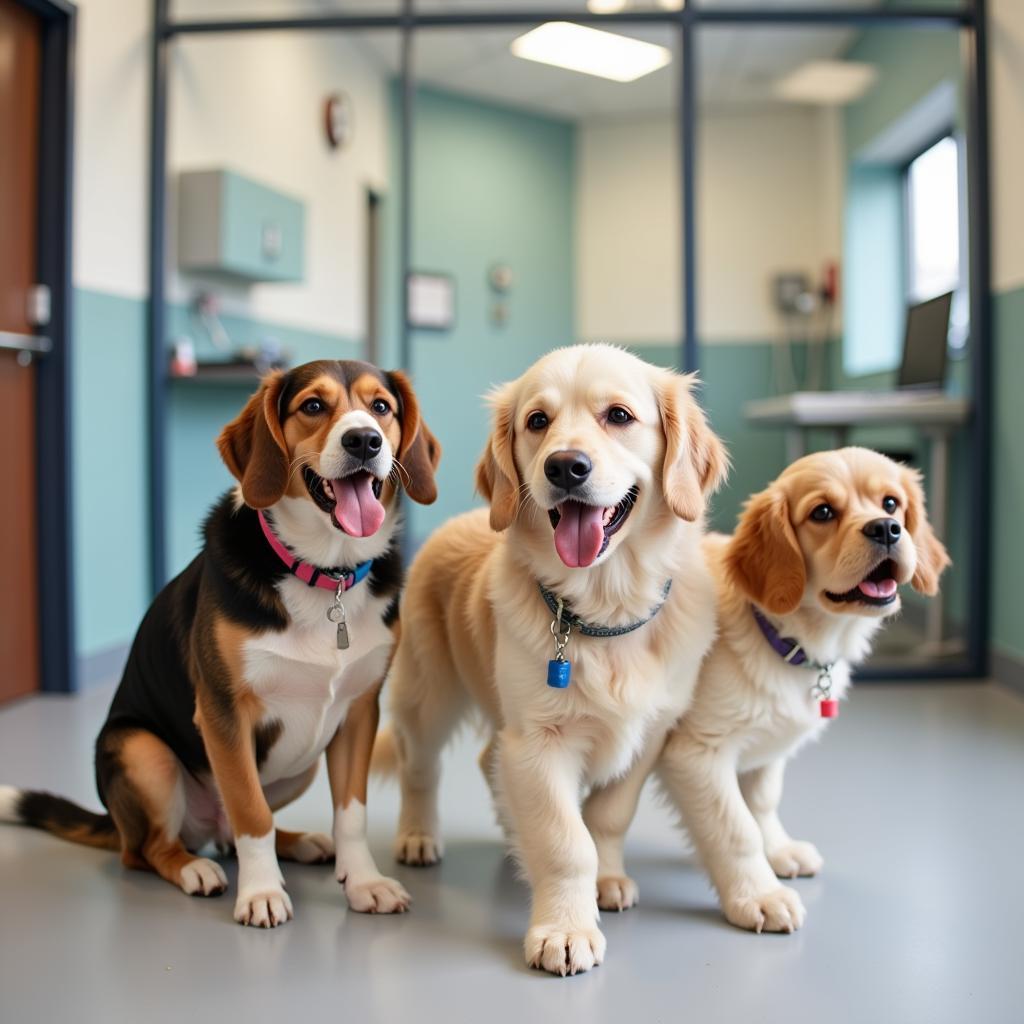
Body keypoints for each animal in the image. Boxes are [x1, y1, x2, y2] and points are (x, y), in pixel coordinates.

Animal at [0, 360, 440, 929]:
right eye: (313, 406)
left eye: (381, 407)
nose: (364, 440)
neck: (327, 572)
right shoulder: (223, 712)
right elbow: (251, 812)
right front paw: (261, 893)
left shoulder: (359, 712)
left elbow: (351, 814)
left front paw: (363, 882)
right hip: (142, 752)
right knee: (150, 849)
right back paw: (193, 869)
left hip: (301, 764)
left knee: (232, 833)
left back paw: (300, 844)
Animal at [378, 346, 729, 974]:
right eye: (537, 422)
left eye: (619, 416)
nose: (566, 467)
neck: (604, 608)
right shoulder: (539, 741)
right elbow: (566, 841)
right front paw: (565, 929)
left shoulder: (649, 735)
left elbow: (607, 817)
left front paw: (607, 879)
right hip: (428, 693)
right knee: (421, 767)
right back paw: (418, 835)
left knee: (489, 759)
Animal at [589, 448, 946, 937]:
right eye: (823, 513)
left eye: (891, 503)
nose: (886, 528)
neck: (784, 633)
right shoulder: (696, 753)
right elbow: (736, 828)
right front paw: (757, 896)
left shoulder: (766, 749)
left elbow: (761, 803)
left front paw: (778, 852)